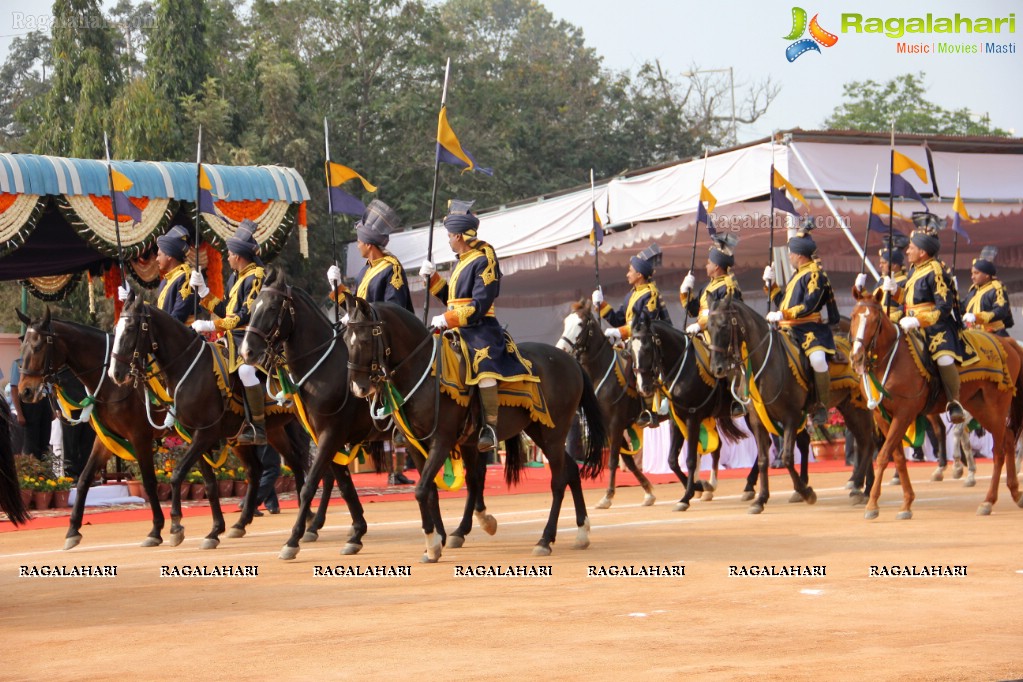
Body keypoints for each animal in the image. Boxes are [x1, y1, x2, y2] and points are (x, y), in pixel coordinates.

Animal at [104, 290, 310, 548]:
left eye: (131, 328)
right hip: (267, 432)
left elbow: (178, 474)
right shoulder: (195, 435)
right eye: (117, 327)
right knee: (278, 466)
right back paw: (246, 523)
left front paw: (175, 525)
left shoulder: (205, 434)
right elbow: (210, 484)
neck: (188, 368)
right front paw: (214, 530)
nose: (115, 374)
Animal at [239, 265, 495, 560]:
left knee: (475, 476)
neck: (322, 369)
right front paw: (356, 533)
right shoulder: (325, 436)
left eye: (271, 308)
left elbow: (310, 485)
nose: (247, 351)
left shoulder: (331, 434)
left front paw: (293, 541)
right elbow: (344, 485)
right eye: (252, 307)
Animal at [341, 296, 605, 564]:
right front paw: (436, 540)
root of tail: (570, 360)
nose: (357, 388)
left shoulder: (442, 440)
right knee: (571, 470)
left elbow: (421, 489)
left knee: (558, 481)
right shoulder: (415, 443)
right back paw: (581, 532)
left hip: (553, 435)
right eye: (345, 340)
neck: (423, 372)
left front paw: (432, 544)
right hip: (539, 431)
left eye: (364, 340)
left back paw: (545, 539)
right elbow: (431, 489)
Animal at [703, 296, 879, 515]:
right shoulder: (757, 420)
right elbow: (763, 459)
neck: (767, 364)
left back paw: (858, 486)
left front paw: (806, 492)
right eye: (708, 328)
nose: (716, 368)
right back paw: (865, 489)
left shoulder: (790, 417)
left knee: (868, 442)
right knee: (864, 442)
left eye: (724, 325)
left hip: (859, 407)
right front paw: (761, 499)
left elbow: (787, 457)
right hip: (849, 407)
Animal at [847, 288, 1023, 517]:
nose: (857, 357)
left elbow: (884, 454)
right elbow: (898, 456)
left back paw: (988, 501)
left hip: (996, 406)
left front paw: (872, 505)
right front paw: (906, 502)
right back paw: (1015, 492)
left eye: (876, 320)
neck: (891, 361)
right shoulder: (882, 416)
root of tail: (1008, 343)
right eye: (853, 317)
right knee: (1009, 438)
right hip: (980, 407)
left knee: (999, 450)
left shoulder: (904, 413)